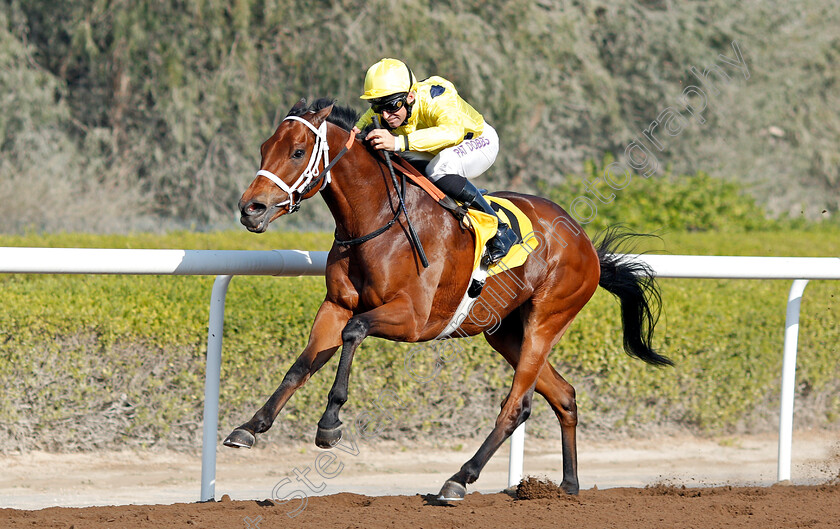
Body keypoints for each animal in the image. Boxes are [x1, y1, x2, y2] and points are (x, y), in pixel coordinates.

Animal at [225, 99, 668, 500]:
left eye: (298, 152)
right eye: (265, 148)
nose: (251, 209)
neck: (379, 220)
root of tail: (586, 244)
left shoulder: (413, 319)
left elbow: (355, 331)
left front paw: (330, 422)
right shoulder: (336, 305)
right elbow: (300, 366)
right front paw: (249, 426)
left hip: (546, 320)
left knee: (516, 406)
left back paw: (458, 479)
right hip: (505, 331)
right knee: (563, 396)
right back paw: (568, 485)